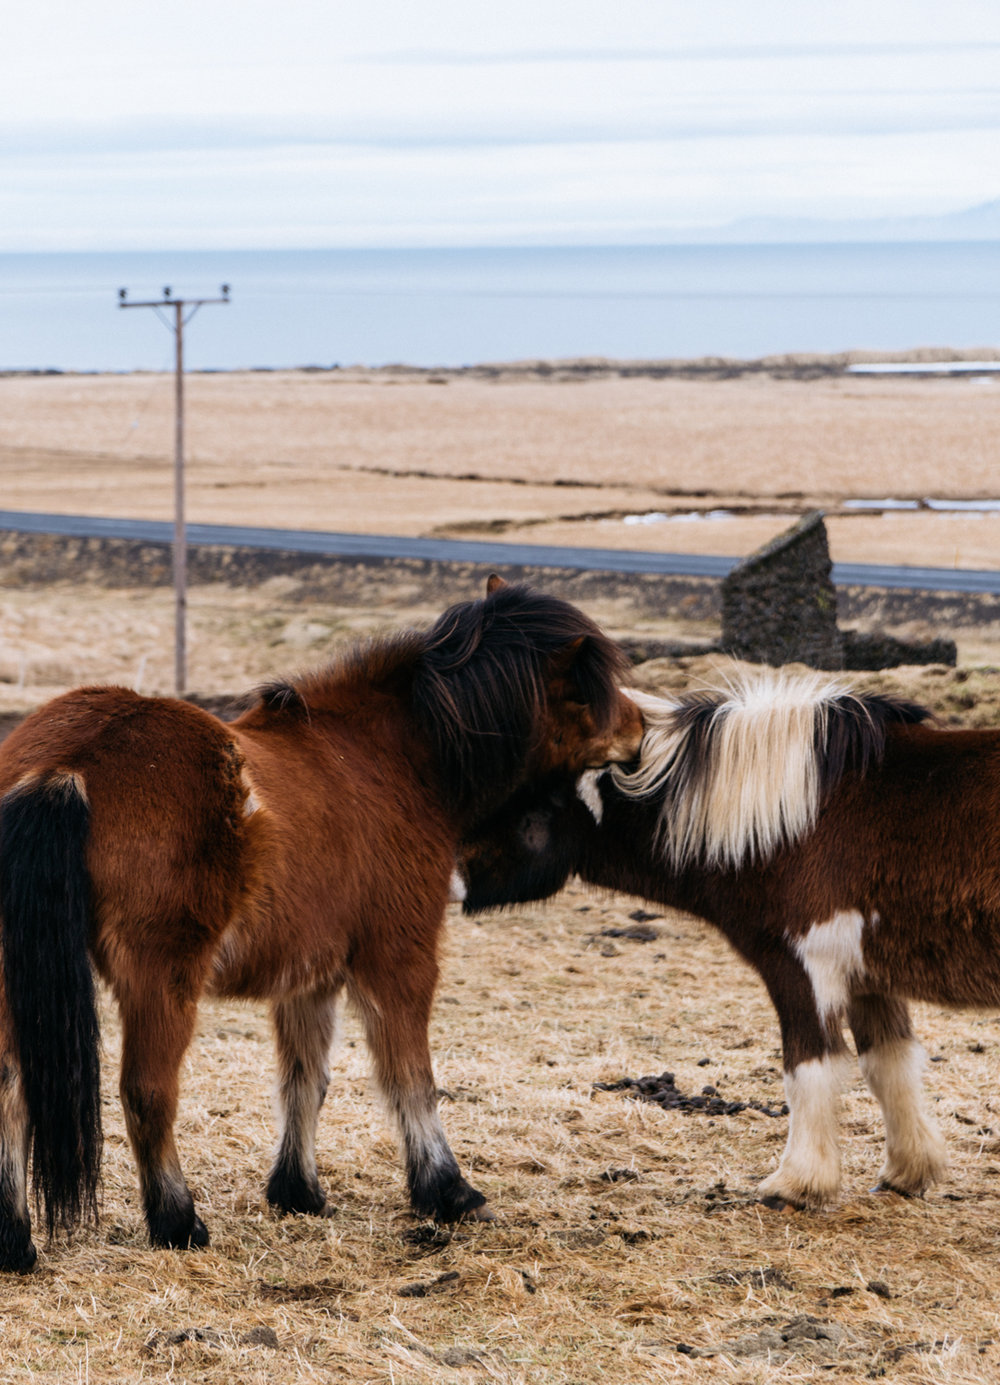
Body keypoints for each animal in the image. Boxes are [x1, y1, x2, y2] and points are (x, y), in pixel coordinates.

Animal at [0, 573, 639, 1268]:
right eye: (589, 685)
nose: (639, 732)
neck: (390, 757)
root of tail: (65, 763)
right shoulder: (399, 959)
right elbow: (409, 1079)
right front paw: (449, 1192)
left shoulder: (309, 977)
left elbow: (305, 1080)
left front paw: (297, 1190)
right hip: (161, 978)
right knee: (147, 1093)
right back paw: (178, 1223)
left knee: (11, 1092)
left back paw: (14, 1242)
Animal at [457, 670, 997, 1213]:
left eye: (514, 791)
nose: (446, 873)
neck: (791, 820)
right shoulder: (868, 979)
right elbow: (890, 1065)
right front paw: (907, 1171)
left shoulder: (802, 968)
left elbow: (809, 1070)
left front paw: (796, 1183)